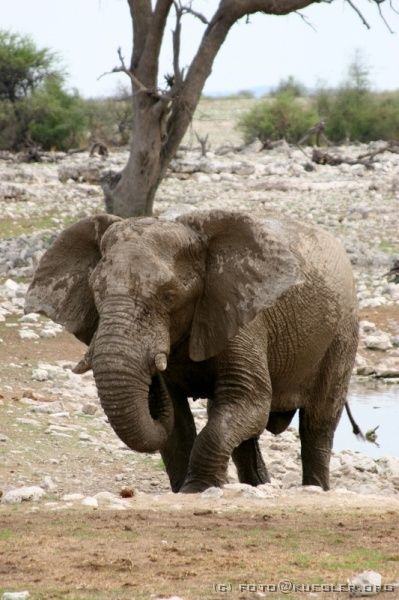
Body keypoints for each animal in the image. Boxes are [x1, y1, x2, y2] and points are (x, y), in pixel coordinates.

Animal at [26, 210, 360, 492]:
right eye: (96, 290)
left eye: (169, 296)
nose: (153, 375)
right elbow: (178, 420)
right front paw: (184, 490)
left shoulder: (243, 318)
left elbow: (249, 400)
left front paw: (198, 488)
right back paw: (259, 487)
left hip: (343, 332)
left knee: (318, 422)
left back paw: (316, 489)